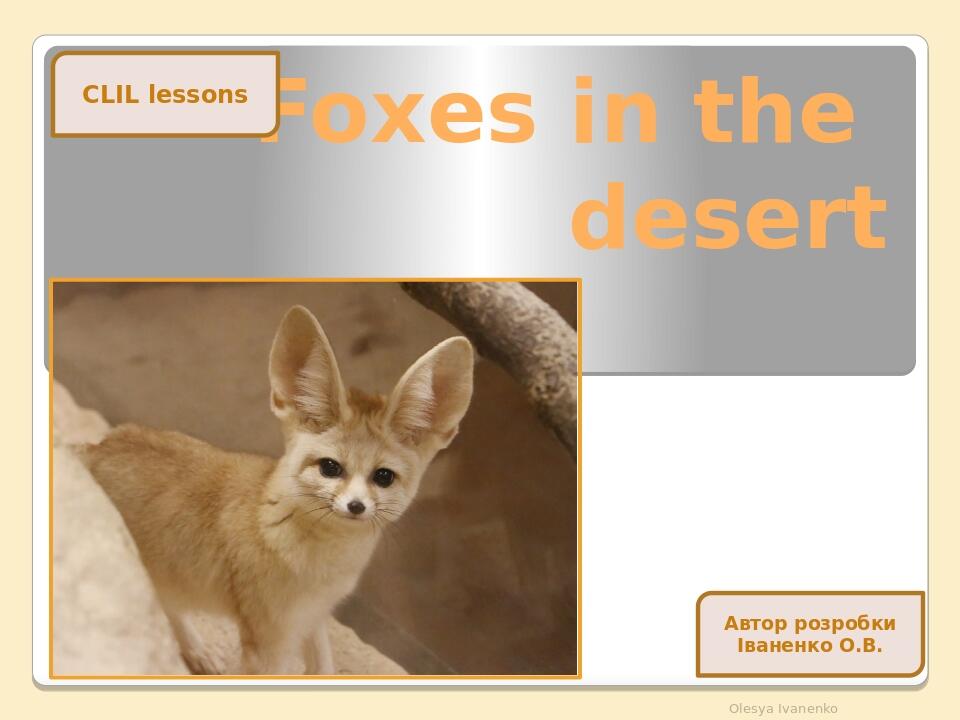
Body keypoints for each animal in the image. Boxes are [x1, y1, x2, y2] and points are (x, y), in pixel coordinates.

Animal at [79, 305, 474, 675]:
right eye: (330, 468)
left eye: (384, 477)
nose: (356, 506)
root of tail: (96, 447)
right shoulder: (267, 642)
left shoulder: (314, 617)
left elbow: (324, 668)